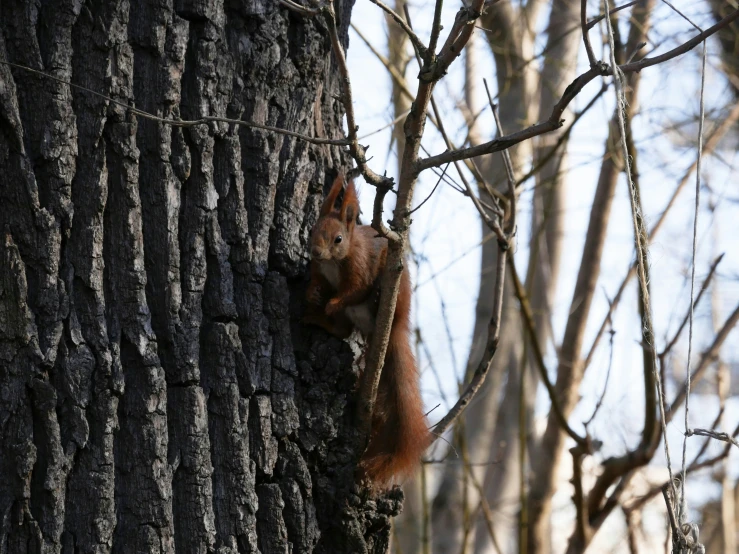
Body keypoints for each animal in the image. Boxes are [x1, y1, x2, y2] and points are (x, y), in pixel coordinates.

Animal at [304, 175, 430, 486]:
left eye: (338, 239)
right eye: (312, 230)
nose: (315, 252)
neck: (333, 262)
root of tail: (394, 329)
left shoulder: (360, 266)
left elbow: (355, 290)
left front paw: (333, 301)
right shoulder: (318, 271)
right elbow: (317, 282)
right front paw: (313, 295)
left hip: (395, 292)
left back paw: (373, 299)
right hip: (350, 321)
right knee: (341, 330)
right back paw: (315, 317)